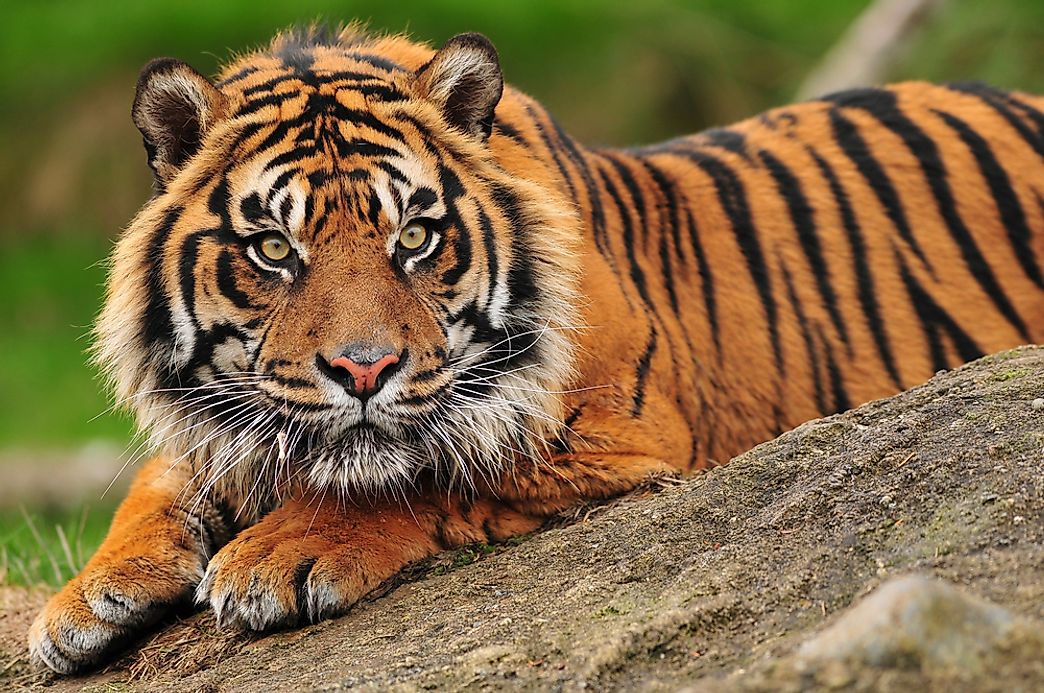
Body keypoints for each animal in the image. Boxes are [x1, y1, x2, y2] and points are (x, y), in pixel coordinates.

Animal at [29, 25, 1044, 674]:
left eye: (415, 237)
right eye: (274, 248)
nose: (363, 371)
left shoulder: (616, 433)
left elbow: (423, 470)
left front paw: (281, 555)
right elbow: (163, 476)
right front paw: (84, 600)